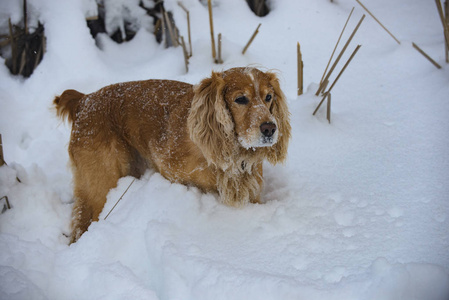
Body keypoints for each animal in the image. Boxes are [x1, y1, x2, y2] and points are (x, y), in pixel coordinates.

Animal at [54, 67, 290, 243]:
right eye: (240, 99)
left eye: (268, 97)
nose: (270, 128)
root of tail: (85, 100)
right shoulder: (173, 174)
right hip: (101, 183)